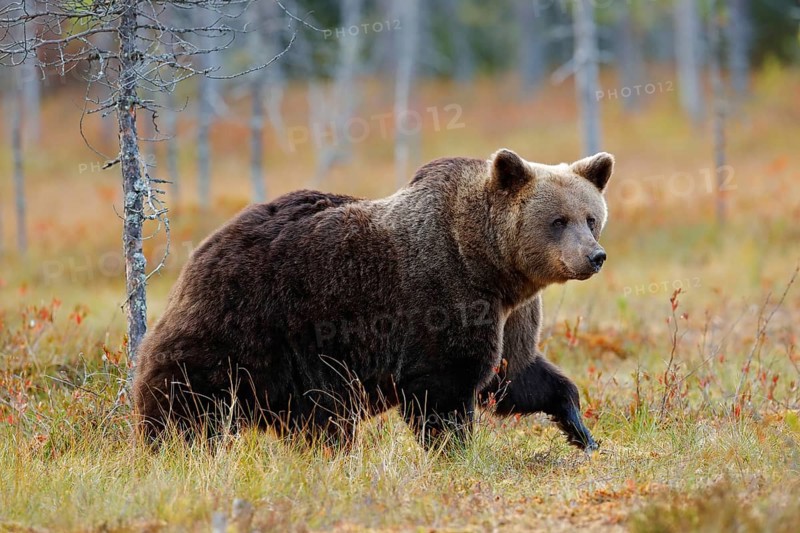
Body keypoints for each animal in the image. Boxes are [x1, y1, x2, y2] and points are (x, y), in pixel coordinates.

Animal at [132, 149, 613, 451]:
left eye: (591, 217)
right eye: (558, 220)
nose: (594, 256)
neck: (490, 266)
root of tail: (201, 252)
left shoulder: (509, 314)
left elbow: (516, 373)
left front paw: (581, 431)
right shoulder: (445, 298)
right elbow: (444, 390)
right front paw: (455, 449)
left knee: (316, 422)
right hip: (244, 325)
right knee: (190, 400)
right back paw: (170, 444)